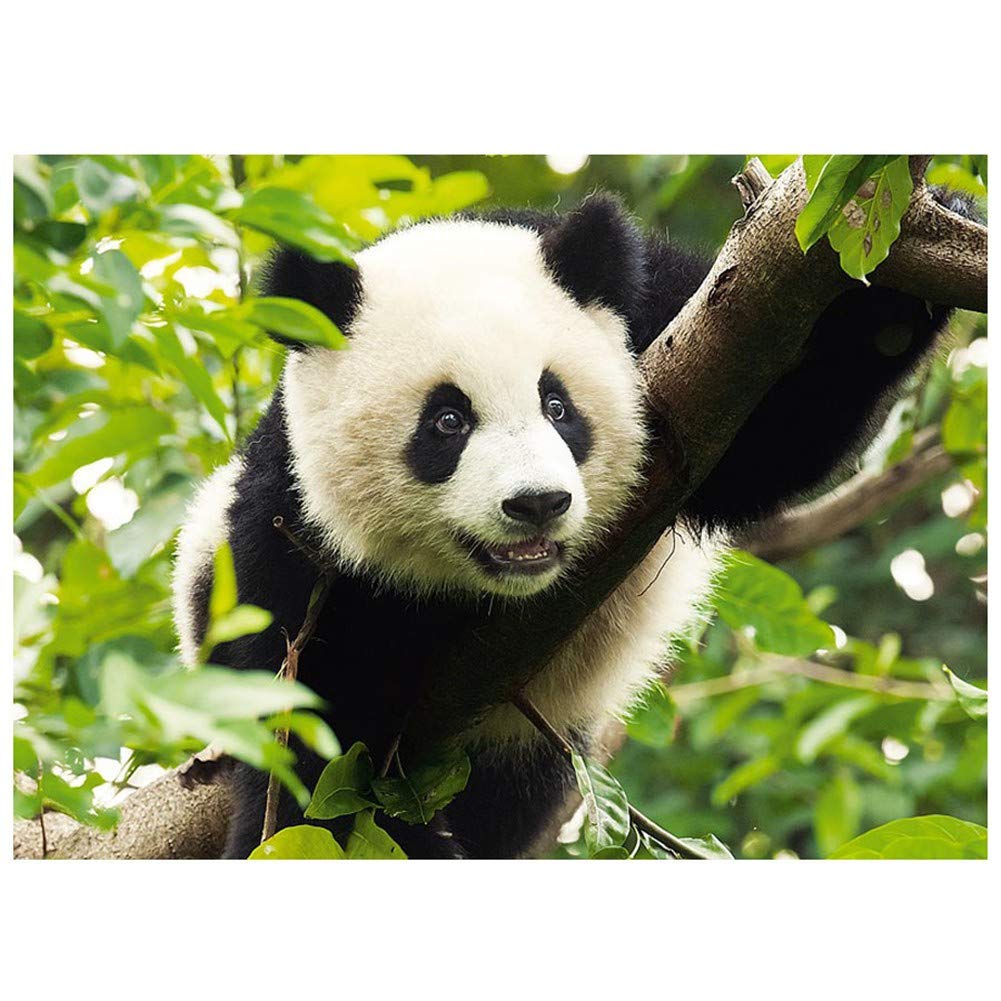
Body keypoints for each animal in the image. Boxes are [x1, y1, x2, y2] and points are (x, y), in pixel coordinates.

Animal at [173, 190, 968, 859]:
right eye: (447, 421)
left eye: (557, 406)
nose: (535, 503)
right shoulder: (289, 534)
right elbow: (311, 730)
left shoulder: (669, 320)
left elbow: (771, 436)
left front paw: (908, 263)